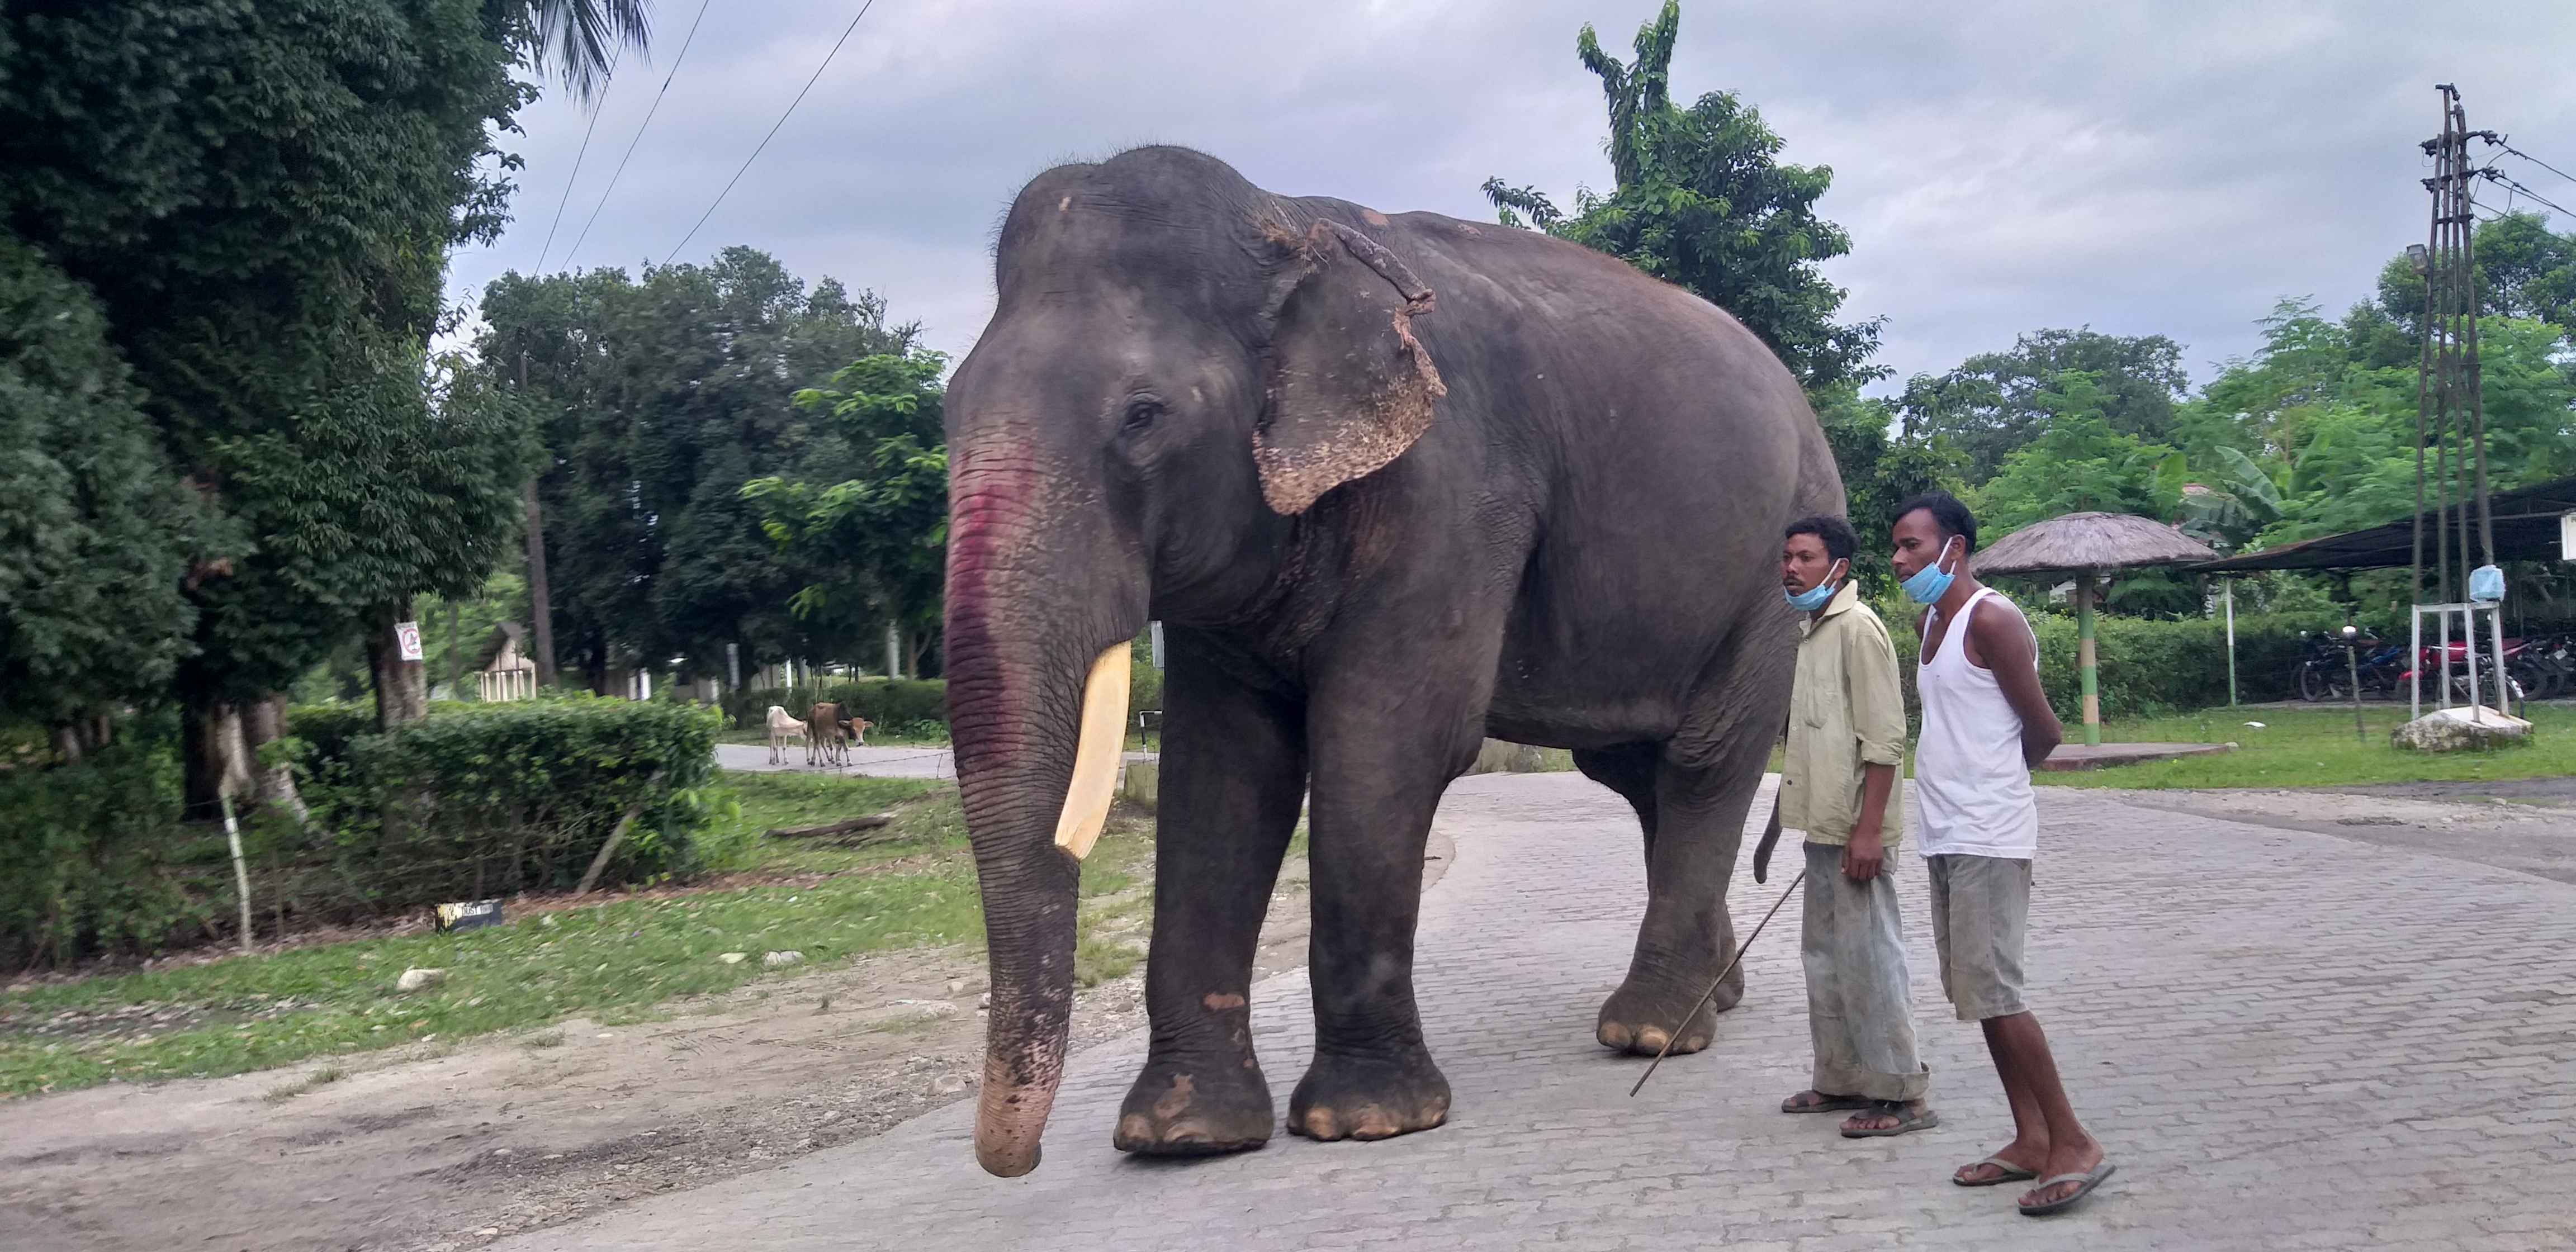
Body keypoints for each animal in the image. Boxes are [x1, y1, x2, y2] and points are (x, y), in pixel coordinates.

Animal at [948, 146, 1854, 1174]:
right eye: (944, 408)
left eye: (1143, 416)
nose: (1012, 1161)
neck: (1285, 220)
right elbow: (1224, 770)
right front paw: (1182, 1136)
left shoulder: (1449, 489)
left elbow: (1385, 746)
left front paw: (1367, 1120)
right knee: (1638, 774)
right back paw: (1711, 998)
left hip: (1775, 575)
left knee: (1704, 761)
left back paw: (1650, 1030)